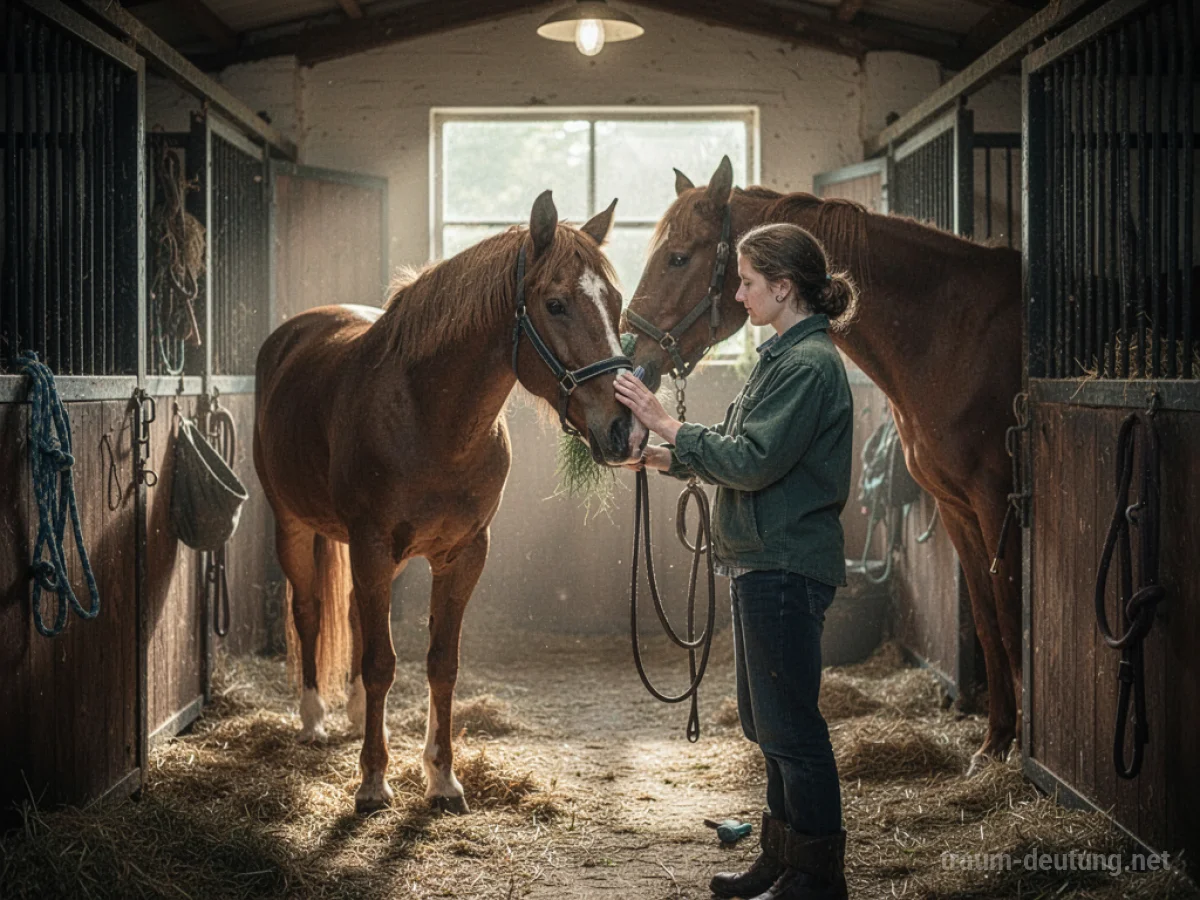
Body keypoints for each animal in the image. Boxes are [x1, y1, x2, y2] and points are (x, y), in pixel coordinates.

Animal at [254, 191, 647, 814]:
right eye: (556, 304)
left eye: (614, 301)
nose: (624, 429)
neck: (427, 416)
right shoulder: (369, 543)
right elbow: (382, 662)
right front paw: (373, 782)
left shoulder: (462, 554)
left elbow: (441, 663)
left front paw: (442, 778)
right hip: (294, 526)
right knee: (311, 609)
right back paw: (314, 719)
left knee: (358, 619)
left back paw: (358, 714)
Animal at [622, 157, 1023, 774]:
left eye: (679, 257)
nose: (630, 352)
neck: (955, 332)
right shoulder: (957, 506)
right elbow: (985, 615)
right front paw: (995, 740)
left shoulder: (996, 499)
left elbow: (1009, 614)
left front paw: (1018, 749)